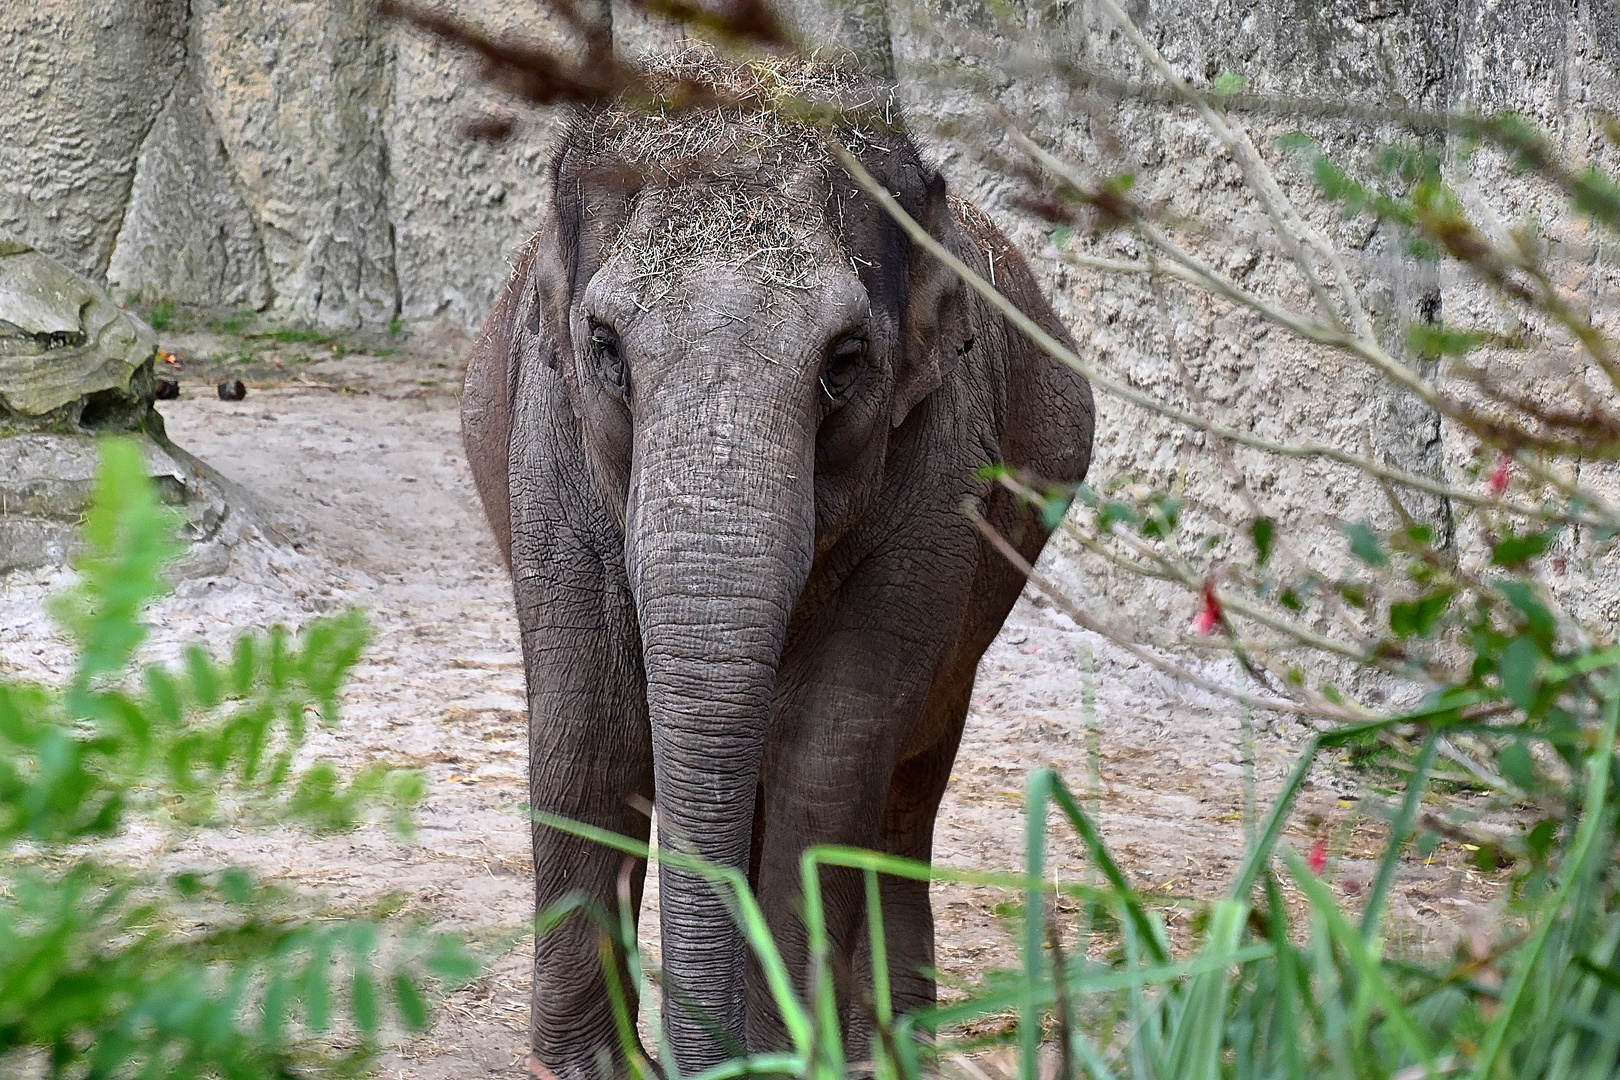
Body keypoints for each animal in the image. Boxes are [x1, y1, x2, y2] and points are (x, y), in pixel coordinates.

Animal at [463, 57, 1095, 1080]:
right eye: (605, 349)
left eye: (845, 360)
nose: (694, 1057)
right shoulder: (548, 442)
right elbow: (590, 728)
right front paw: (593, 1066)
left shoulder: (941, 469)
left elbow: (830, 754)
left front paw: (784, 1053)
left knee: (908, 782)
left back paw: (894, 1040)